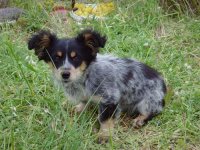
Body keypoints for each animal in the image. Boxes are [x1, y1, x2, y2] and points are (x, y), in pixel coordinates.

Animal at [27, 29, 166, 143]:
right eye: (56, 58)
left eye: (76, 57)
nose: (65, 74)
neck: (85, 77)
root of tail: (163, 85)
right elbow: (83, 101)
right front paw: (78, 108)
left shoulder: (110, 99)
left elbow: (105, 120)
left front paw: (103, 135)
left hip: (148, 101)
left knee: (153, 111)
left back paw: (140, 119)